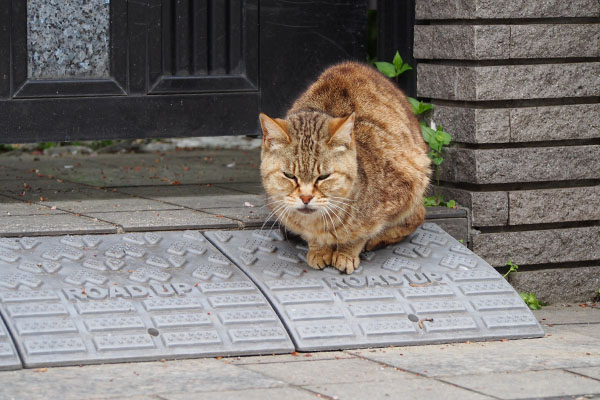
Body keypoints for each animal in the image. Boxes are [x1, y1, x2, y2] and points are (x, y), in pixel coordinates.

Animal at [260, 61, 428, 276]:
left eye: (323, 177)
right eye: (289, 175)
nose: (305, 198)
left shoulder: (404, 184)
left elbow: (362, 232)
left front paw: (347, 253)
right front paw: (319, 250)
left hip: (419, 173)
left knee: (416, 218)